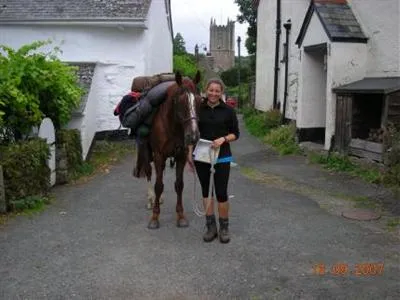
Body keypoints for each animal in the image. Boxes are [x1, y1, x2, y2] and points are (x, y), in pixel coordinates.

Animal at [135, 71, 203, 230]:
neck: (172, 127)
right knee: (149, 173)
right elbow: (158, 185)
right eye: (180, 101)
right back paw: (151, 199)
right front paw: (154, 217)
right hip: (146, 152)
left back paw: (159, 199)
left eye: (199, 100)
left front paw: (181, 216)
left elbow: (179, 185)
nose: (193, 135)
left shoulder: (181, 156)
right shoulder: (159, 155)